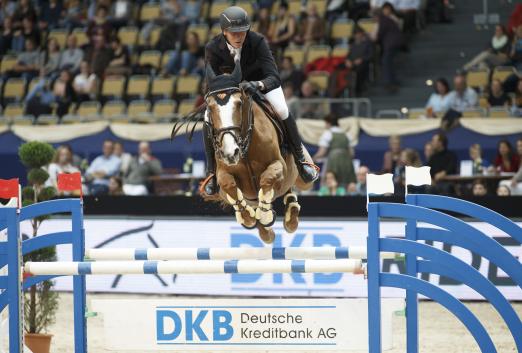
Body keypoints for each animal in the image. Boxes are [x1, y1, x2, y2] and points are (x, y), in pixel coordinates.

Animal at [174, 60, 312, 242]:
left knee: (292, 187)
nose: (230, 153)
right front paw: (248, 217)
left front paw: (265, 215)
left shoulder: (278, 165)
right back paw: (265, 229)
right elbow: (228, 184)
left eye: (239, 104)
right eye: (210, 107)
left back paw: (290, 216)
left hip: (302, 178)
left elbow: (268, 178)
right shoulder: (223, 173)